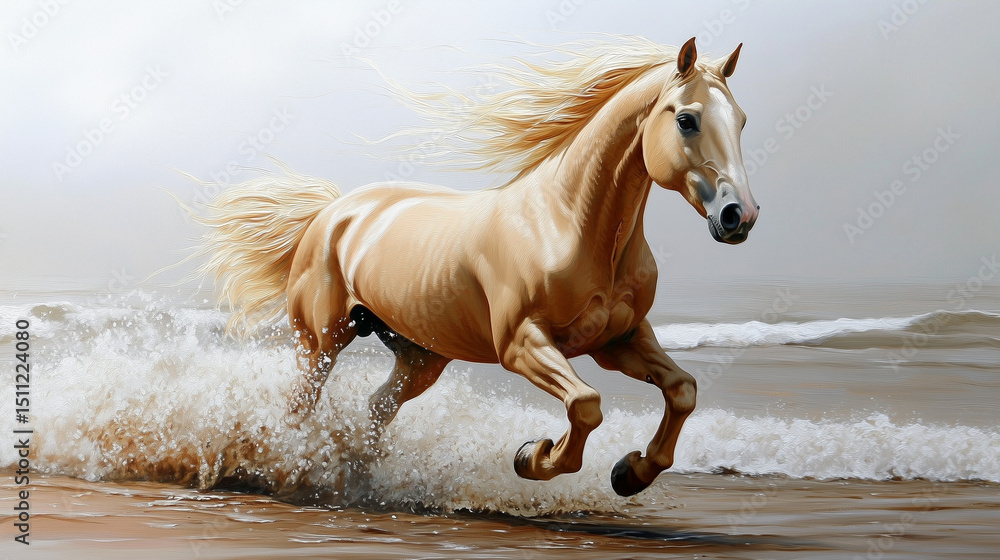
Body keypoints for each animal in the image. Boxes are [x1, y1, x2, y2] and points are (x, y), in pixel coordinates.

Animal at [195, 36, 758, 497]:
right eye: (686, 119)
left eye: (742, 121)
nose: (739, 216)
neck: (568, 223)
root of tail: (330, 212)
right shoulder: (522, 343)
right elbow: (585, 404)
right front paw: (533, 456)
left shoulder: (618, 340)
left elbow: (681, 391)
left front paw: (630, 473)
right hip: (320, 341)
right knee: (298, 409)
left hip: (419, 356)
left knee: (376, 409)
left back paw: (360, 478)